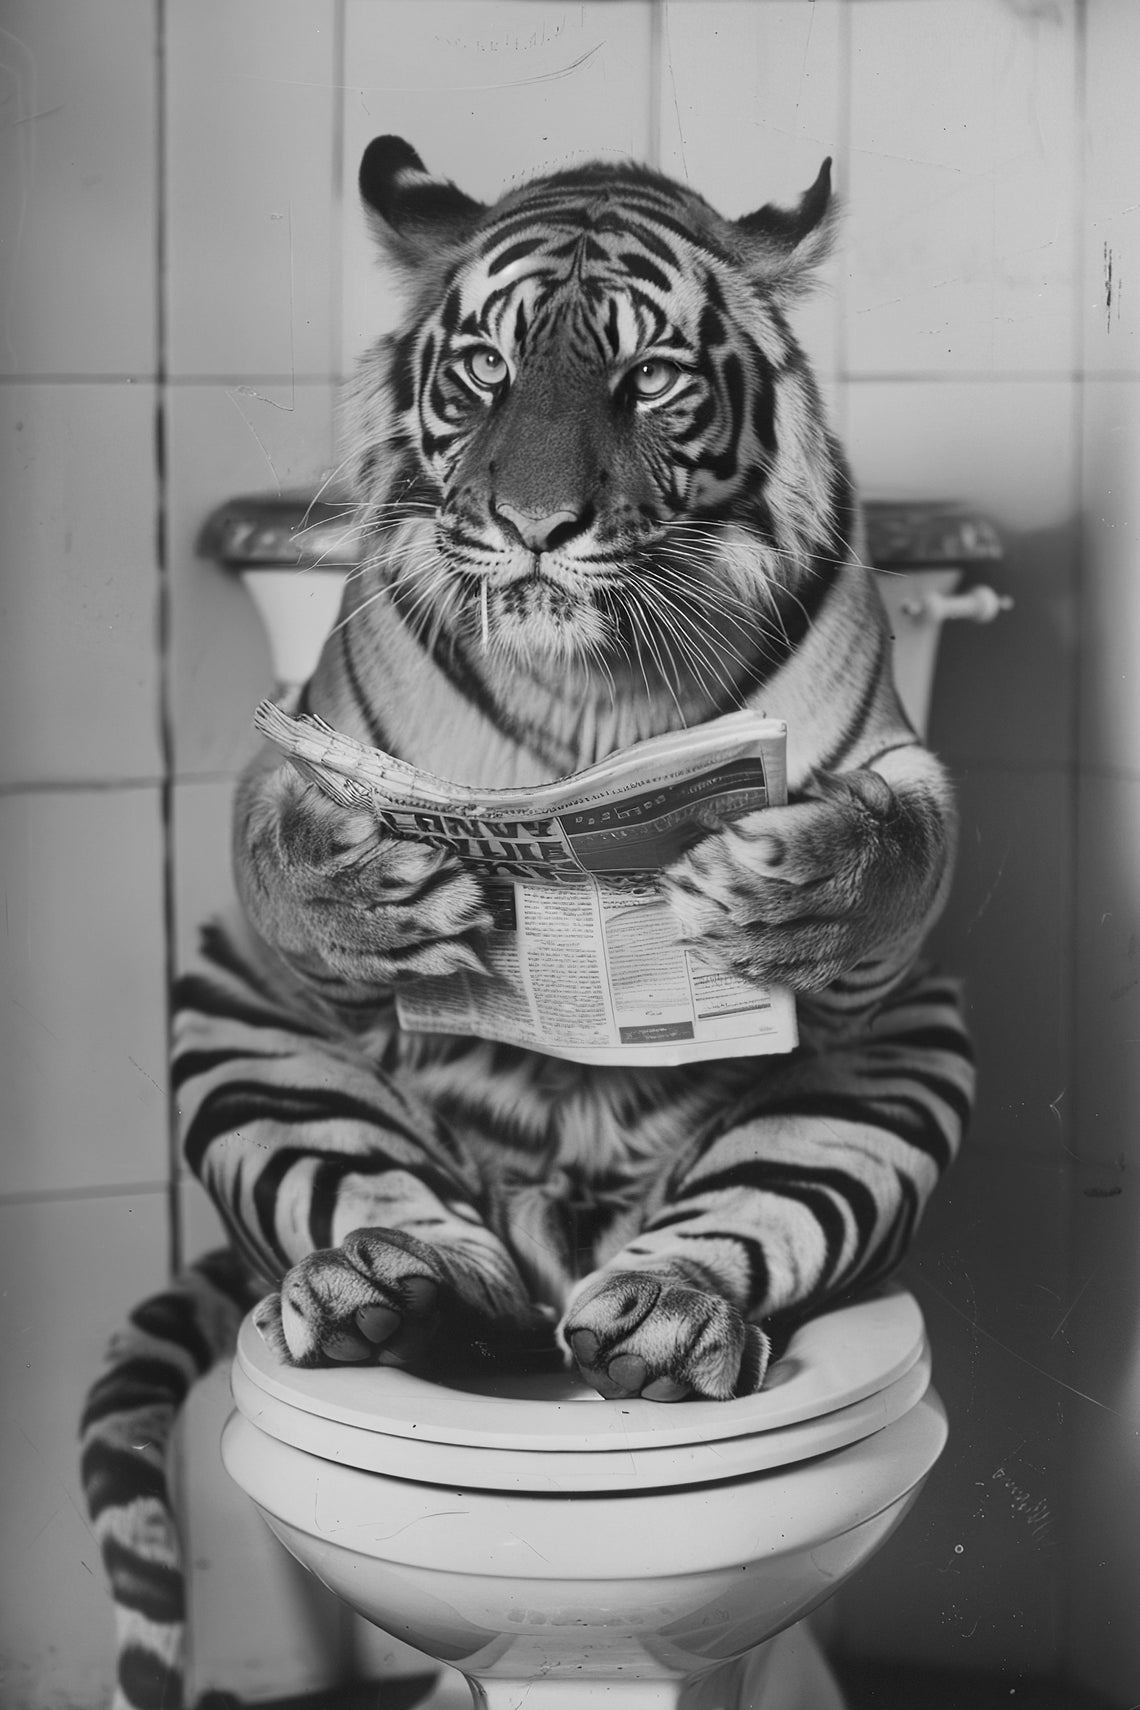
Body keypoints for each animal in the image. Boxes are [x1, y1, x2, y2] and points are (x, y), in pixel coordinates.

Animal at [81, 136, 974, 1710]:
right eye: (488, 369)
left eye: (647, 377)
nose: (534, 529)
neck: (596, 690)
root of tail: (563, 1237)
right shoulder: (298, 748)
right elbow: (280, 832)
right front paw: (371, 894)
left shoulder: (893, 772)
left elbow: (894, 841)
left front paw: (785, 885)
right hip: (235, 1017)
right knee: (379, 1212)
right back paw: (385, 1289)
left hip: (900, 1057)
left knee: (741, 1222)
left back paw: (663, 1319)